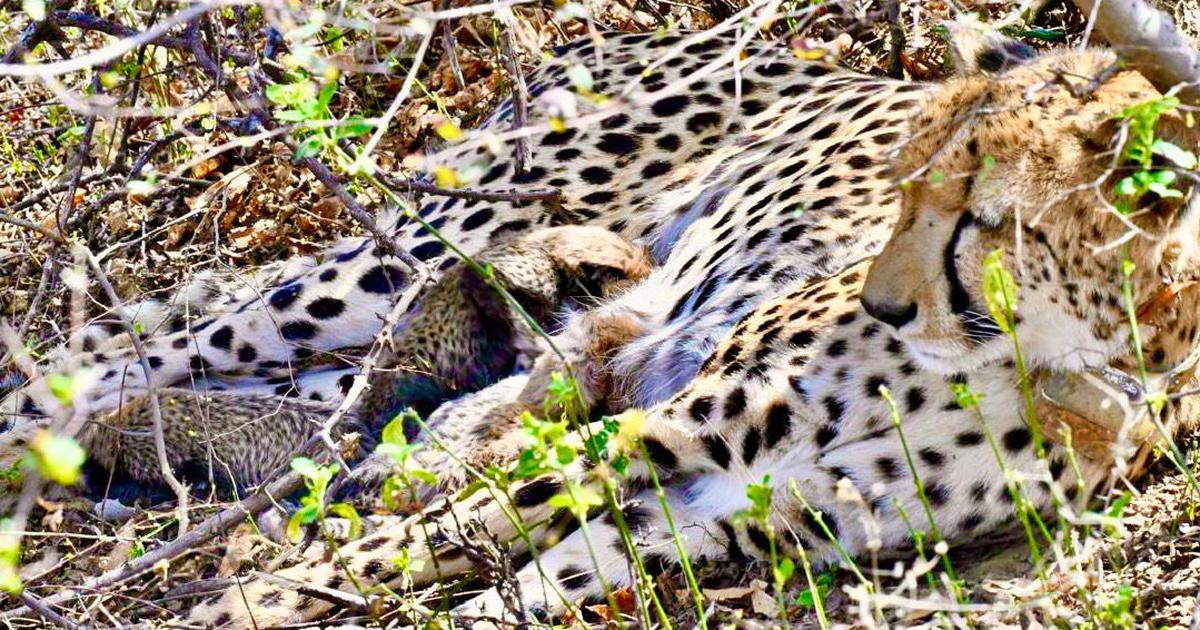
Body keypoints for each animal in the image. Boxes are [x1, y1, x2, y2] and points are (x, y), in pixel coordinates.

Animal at [159, 23, 1200, 628]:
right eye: (901, 188)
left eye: (981, 216)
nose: (883, 304)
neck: (1048, 357)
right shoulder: (665, 429)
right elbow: (433, 537)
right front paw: (238, 605)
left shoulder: (732, 514)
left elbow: (512, 582)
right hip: (417, 249)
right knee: (173, 343)